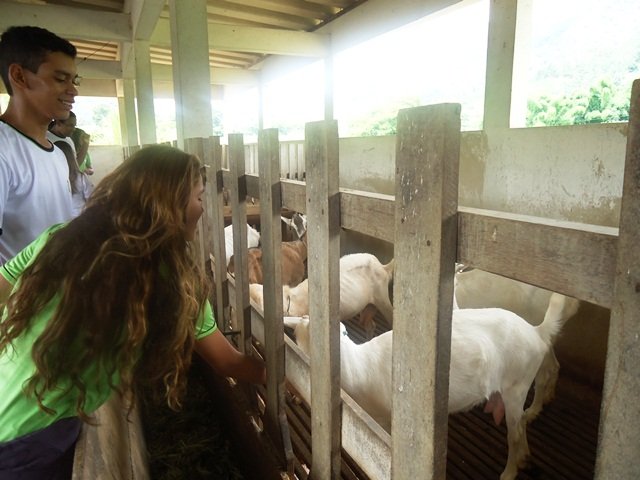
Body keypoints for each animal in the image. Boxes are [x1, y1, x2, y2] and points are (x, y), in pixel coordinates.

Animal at [285, 292, 579, 480]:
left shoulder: (385, 418)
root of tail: (538, 332)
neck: (359, 366)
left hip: (517, 384)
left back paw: (507, 473)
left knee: (514, 433)